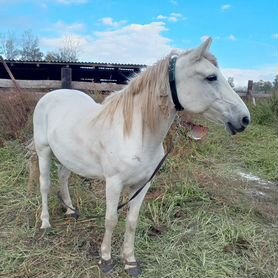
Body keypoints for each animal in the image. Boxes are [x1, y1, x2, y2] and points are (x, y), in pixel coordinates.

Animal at [29, 38, 250, 276]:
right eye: (211, 77)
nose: (245, 119)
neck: (135, 133)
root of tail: (50, 95)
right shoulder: (113, 183)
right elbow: (111, 220)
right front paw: (106, 260)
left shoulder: (143, 185)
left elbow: (132, 221)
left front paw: (130, 261)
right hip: (44, 151)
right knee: (45, 184)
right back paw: (45, 224)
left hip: (68, 157)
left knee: (63, 177)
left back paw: (70, 211)